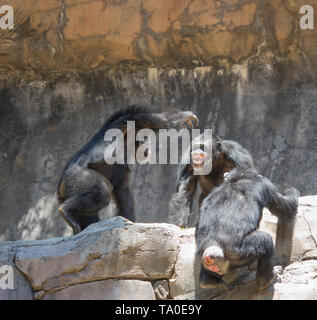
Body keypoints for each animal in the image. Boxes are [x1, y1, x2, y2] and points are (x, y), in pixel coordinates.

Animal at [55, 106, 196, 234]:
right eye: (144, 139)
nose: (146, 146)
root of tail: (61, 184)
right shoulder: (134, 119)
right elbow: (163, 122)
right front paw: (186, 116)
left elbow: (123, 191)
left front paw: (131, 223)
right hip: (78, 178)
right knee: (102, 191)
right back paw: (65, 211)